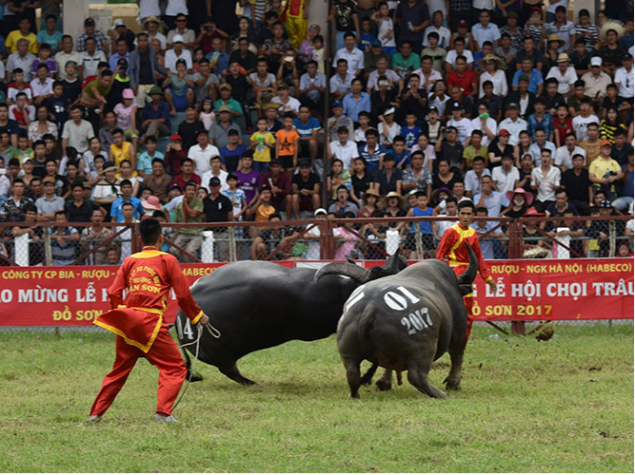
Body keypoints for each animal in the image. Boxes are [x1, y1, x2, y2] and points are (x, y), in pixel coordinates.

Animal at [318, 247, 476, 400]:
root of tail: (370, 306)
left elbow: (388, 365)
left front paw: (384, 383)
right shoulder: (459, 331)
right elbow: (457, 355)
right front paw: (454, 383)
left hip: (348, 351)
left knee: (352, 374)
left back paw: (354, 394)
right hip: (424, 348)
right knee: (417, 376)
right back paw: (442, 394)